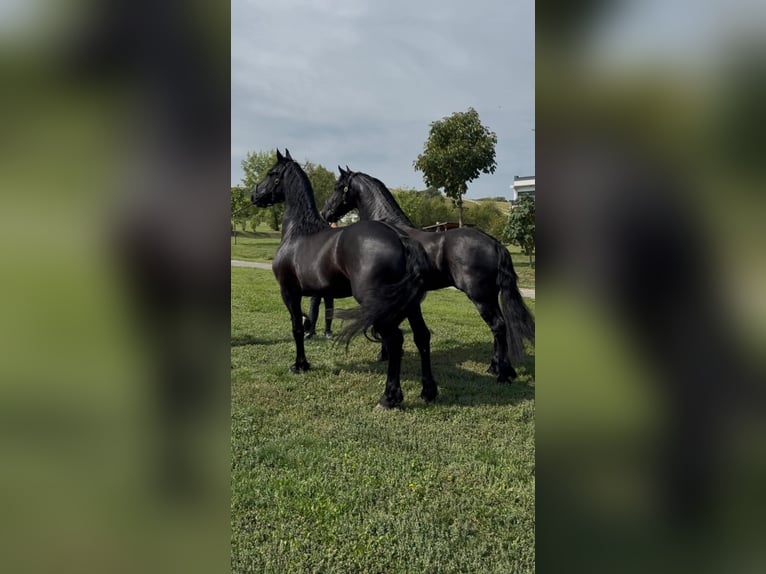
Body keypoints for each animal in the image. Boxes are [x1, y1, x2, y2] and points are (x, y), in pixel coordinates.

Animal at [251, 150, 437, 408]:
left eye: (272, 173)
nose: (254, 194)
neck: (297, 232)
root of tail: (400, 238)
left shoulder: (289, 292)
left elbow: (297, 328)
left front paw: (300, 365)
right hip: (409, 304)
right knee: (422, 336)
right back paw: (428, 391)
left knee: (395, 340)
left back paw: (389, 397)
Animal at [322, 167, 535, 382]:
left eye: (338, 187)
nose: (325, 213)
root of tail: (494, 243)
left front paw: (383, 354)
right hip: (490, 295)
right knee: (500, 327)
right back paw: (496, 367)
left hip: (480, 297)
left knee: (498, 326)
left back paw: (502, 374)